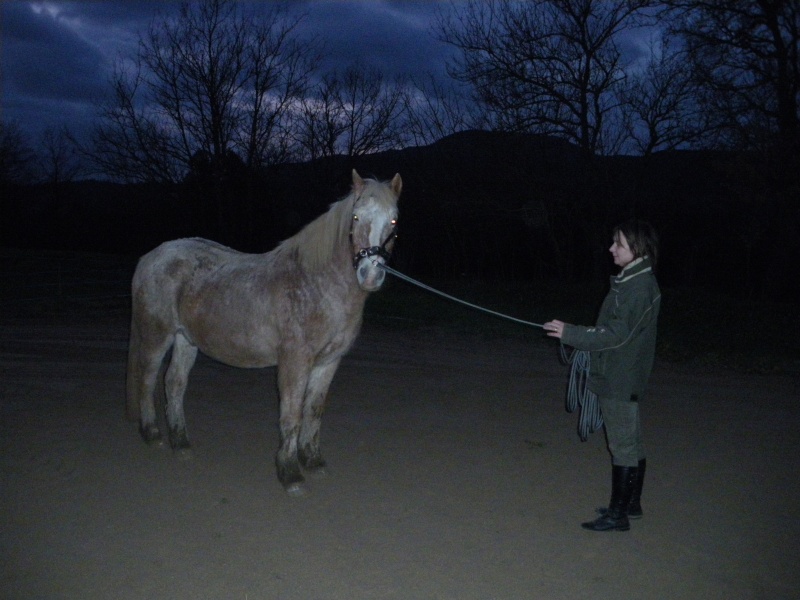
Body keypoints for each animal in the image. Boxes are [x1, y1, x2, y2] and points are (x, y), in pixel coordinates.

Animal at [127, 170, 404, 496]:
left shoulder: (328, 363)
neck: (317, 284)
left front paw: (313, 461)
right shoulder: (295, 362)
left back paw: (181, 443)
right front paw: (290, 473)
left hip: (186, 340)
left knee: (174, 383)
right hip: (157, 336)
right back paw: (151, 433)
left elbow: (313, 411)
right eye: (357, 216)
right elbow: (292, 414)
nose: (370, 274)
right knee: (147, 378)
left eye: (394, 220)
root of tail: (151, 257)